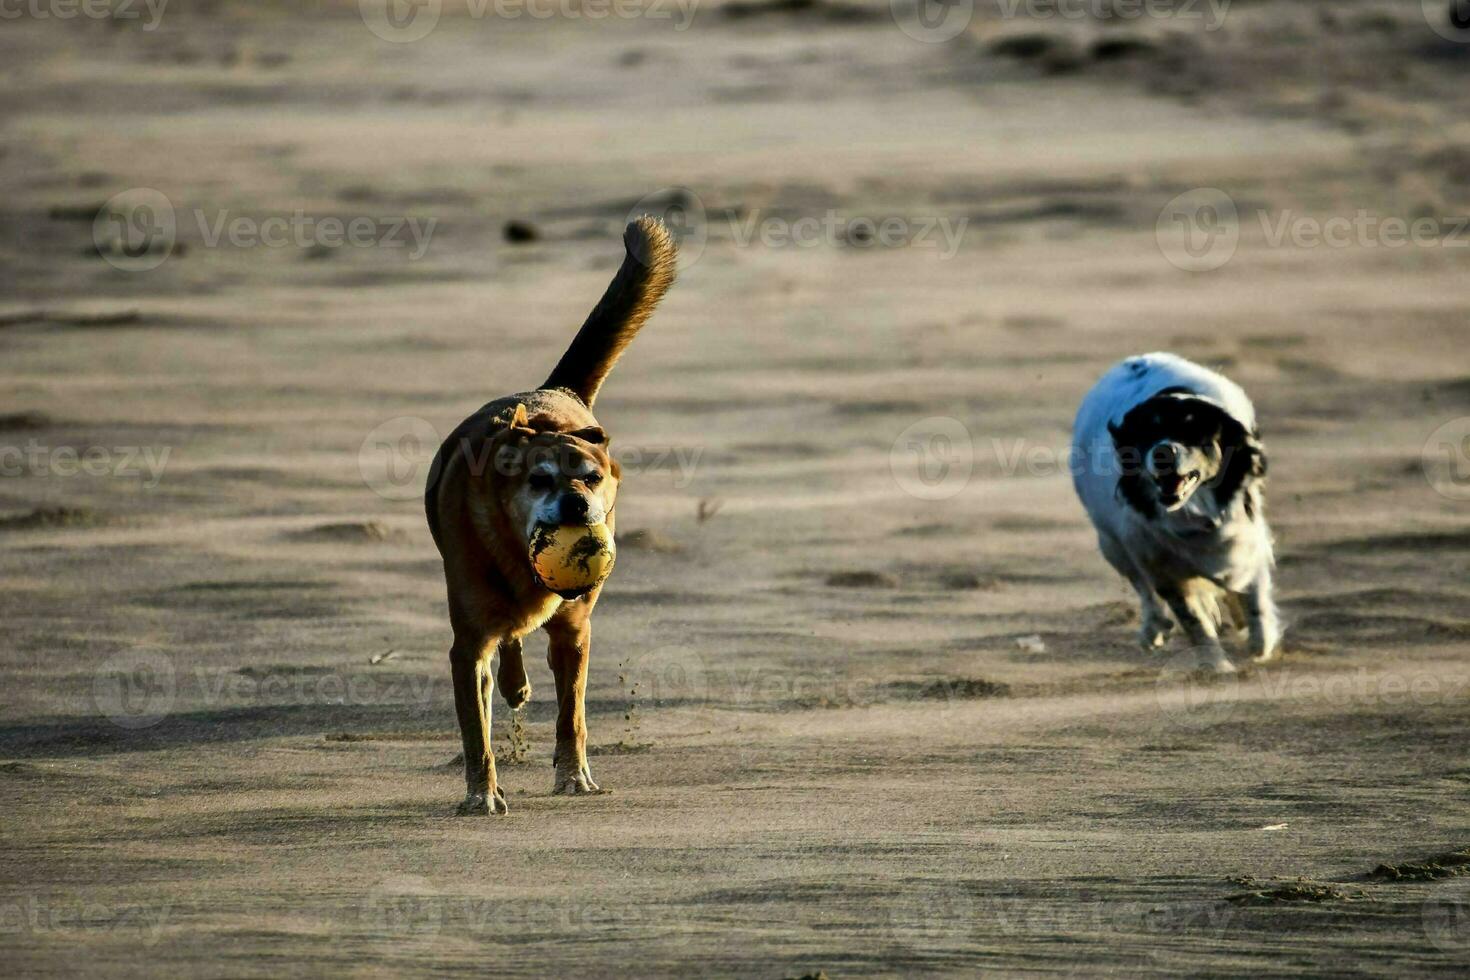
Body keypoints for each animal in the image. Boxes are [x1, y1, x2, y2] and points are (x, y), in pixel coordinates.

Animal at [426, 218, 676, 816]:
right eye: (538, 480)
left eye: (591, 477)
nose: (577, 505)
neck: (519, 556)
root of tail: (552, 391)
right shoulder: (467, 645)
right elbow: (475, 728)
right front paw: (482, 792)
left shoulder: (575, 631)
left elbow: (572, 716)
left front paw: (574, 775)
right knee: (505, 652)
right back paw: (511, 687)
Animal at [1076, 354, 1281, 675]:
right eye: (1147, 434)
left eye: (1195, 434)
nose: (1163, 452)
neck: (1193, 513)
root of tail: (1137, 360)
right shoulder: (1161, 567)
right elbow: (1194, 621)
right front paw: (1217, 667)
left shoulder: (1248, 538)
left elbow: (1255, 592)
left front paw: (1260, 641)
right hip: (1112, 545)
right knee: (1142, 587)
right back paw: (1154, 629)